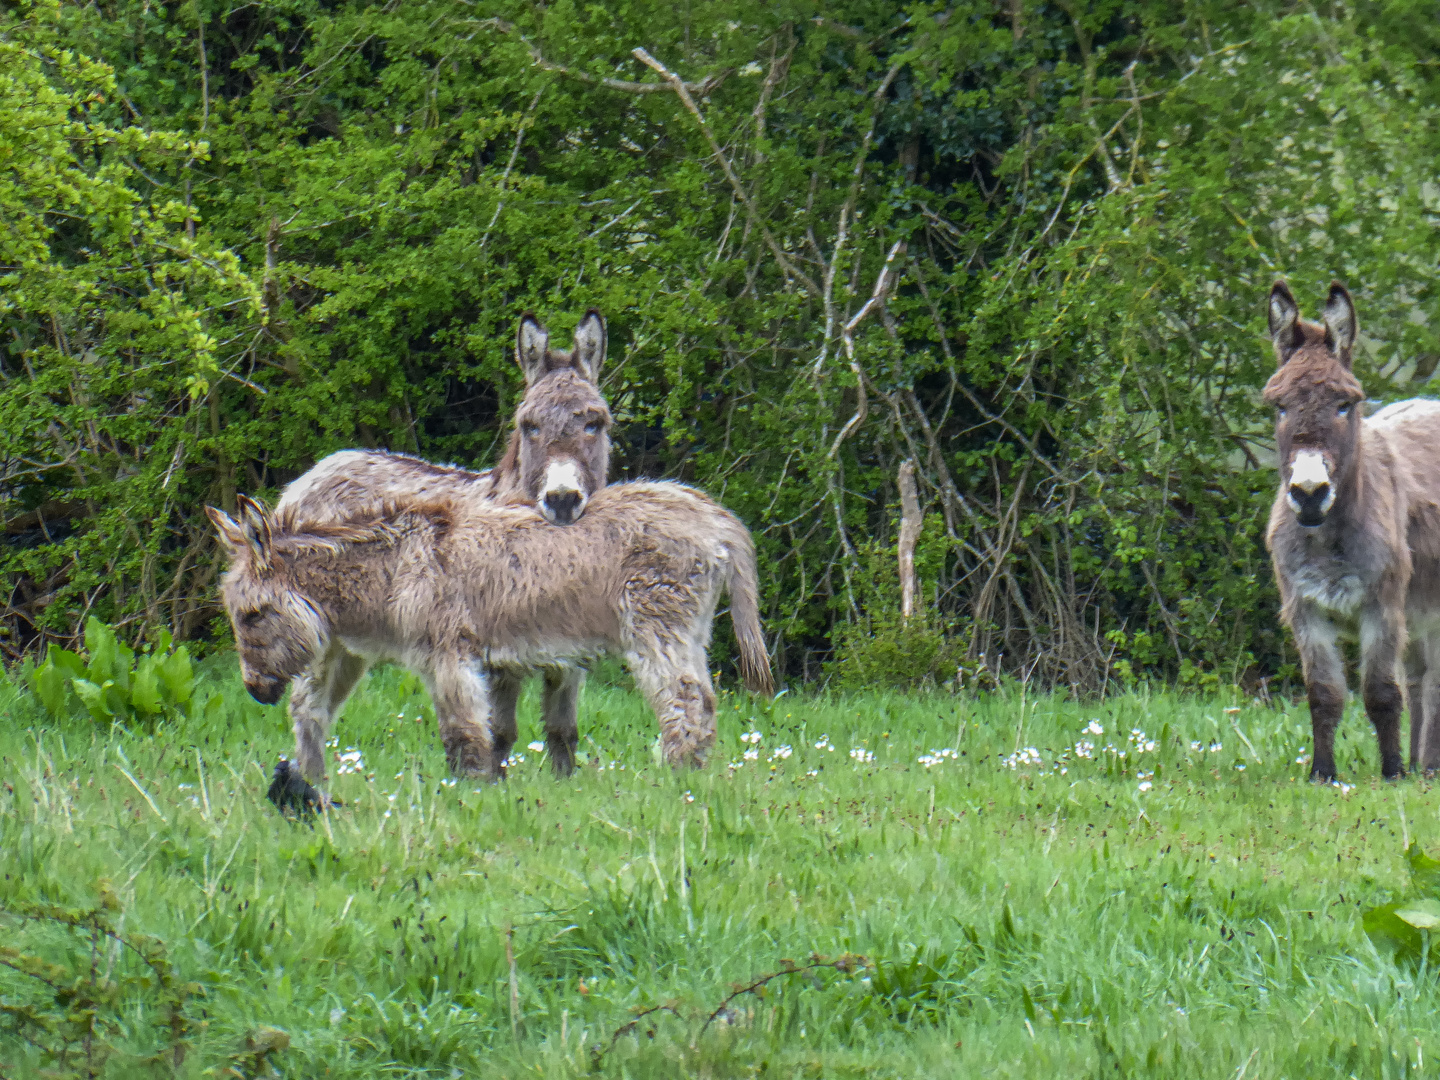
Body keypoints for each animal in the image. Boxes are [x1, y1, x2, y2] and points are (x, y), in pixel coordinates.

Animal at [208, 486, 777, 783]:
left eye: (251, 616)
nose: (254, 691)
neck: (393, 574)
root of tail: (715, 517)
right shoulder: (355, 649)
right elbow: (312, 709)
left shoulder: (449, 655)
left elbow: (463, 731)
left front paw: (469, 792)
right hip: (689, 630)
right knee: (702, 700)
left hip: (656, 625)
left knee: (686, 700)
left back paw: (675, 777)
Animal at [272, 312, 610, 789]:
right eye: (529, 426)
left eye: (595, 424)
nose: (562, 500)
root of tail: (313, 474)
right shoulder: (492, 654)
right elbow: (499, 733)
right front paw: (493, 793)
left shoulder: (570, 658)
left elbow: (563, 734)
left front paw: (563, 789)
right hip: (321, 639)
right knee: (306, 708)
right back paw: (311, 787)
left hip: (352, 645)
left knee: (320, 709)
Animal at [1267, 283, 1440, 783]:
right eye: (1279, 406)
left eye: (1345, 404)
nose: (1308, 495)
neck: (1327, 538)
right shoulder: (1305, 610)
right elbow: (1324, 694)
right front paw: (1323, 774)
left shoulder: (1381, 607)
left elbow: (1381, 691)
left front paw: (1392, 773)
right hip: (1418, 614)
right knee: (1421, 677)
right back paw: (1423, 765)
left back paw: (1423, 767)